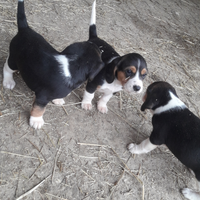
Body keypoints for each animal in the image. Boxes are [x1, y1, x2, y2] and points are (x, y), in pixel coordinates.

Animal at [3, 0, 104, 130]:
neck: (73, 65)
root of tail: (25, 29)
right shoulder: (42, 96)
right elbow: (39, 109)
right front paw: (36, 121)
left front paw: (57, 100)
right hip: (14, 60)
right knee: (7, 67)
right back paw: (8, 81)